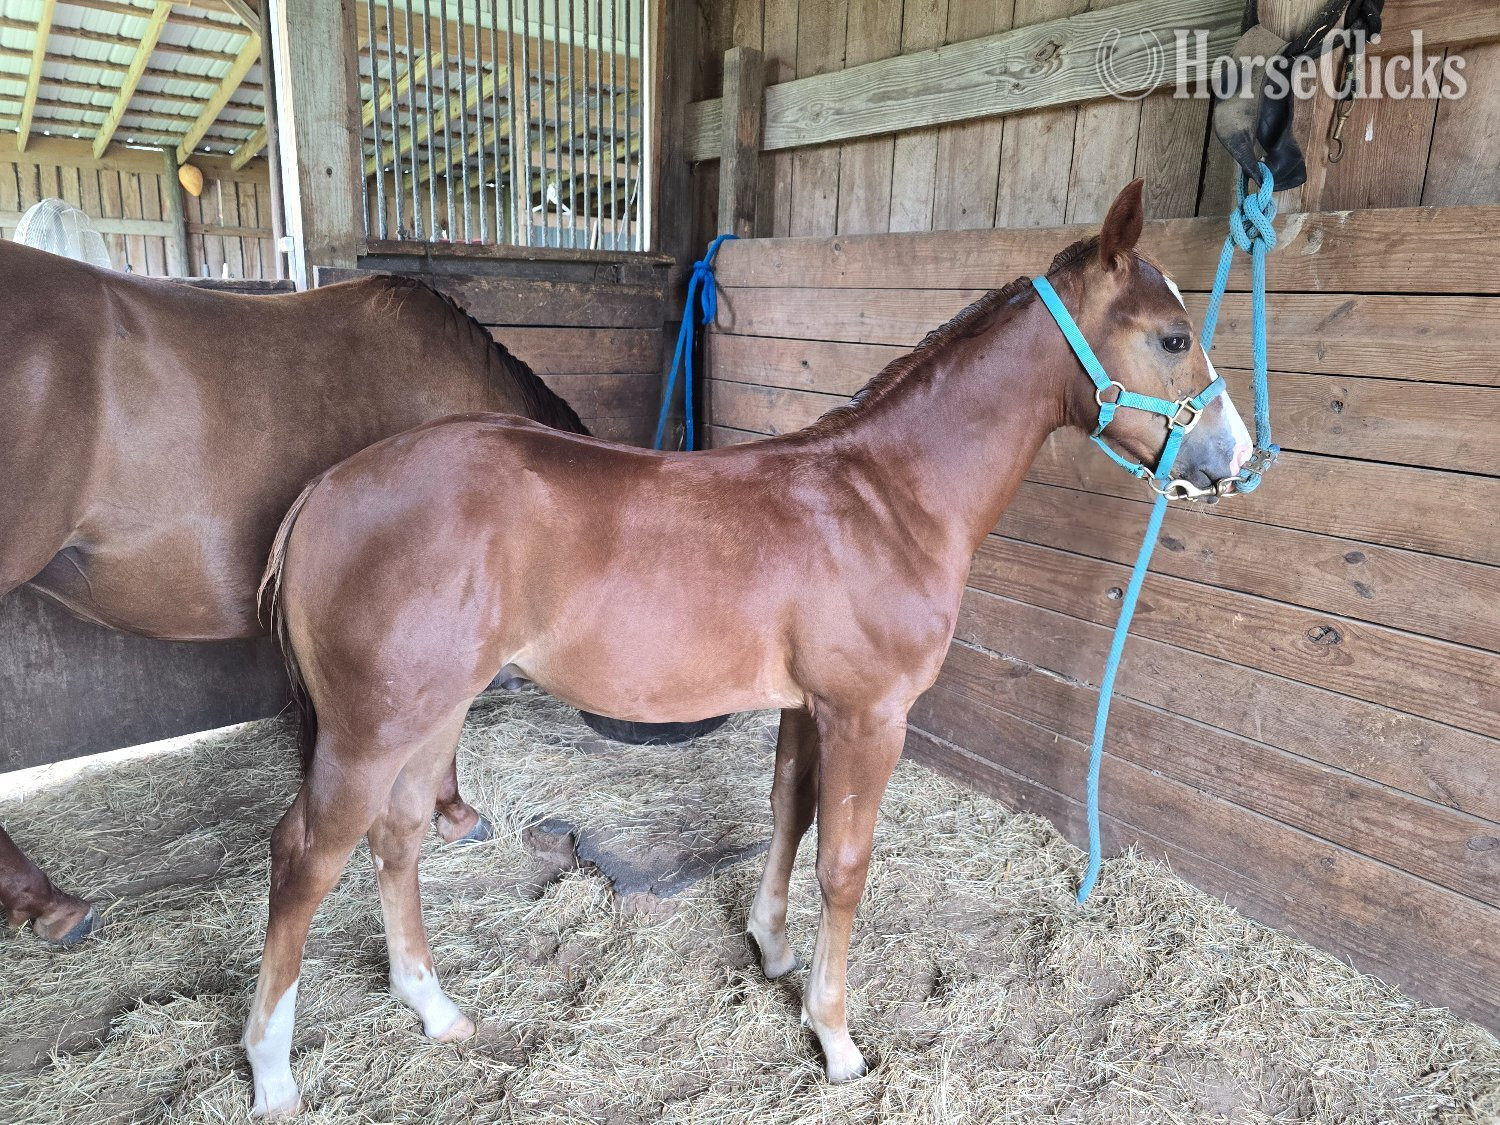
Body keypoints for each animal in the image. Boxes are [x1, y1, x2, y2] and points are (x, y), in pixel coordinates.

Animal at [242, 181, 1253, 1114]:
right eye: (1173, 338)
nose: (1235, 459)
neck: (887, 498)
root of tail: (325, 491)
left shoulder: (810, 707)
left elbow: (789, 814)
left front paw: (772, 947)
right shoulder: (869, 715)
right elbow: (844, 865)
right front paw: (835, 1037)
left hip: (432, 713)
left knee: (399, 837)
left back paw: (434, 1007)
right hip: (371, 729)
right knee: (304, 856)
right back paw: (272, 1071)